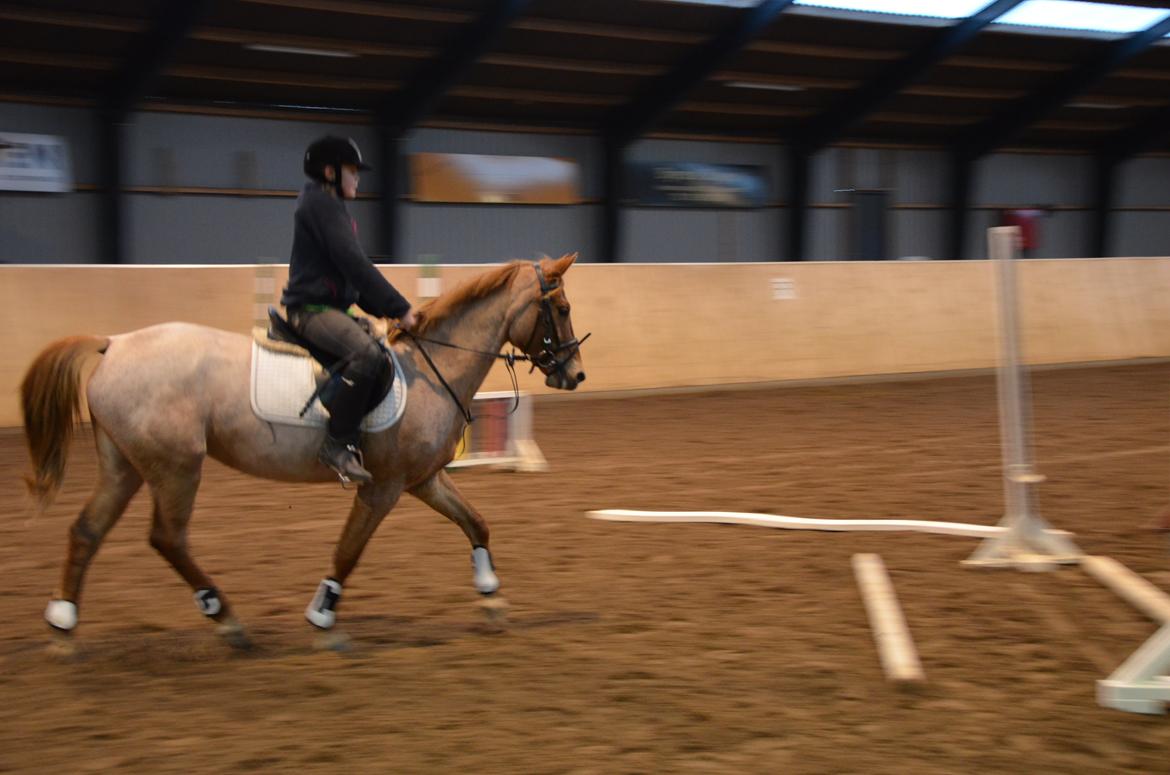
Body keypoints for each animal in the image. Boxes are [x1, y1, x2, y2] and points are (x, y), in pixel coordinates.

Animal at [25, 255, 594, 650]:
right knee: (167, 538)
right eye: (562, 309)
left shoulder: (423, 479)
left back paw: (63, 623)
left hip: (125, 465)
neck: (432, 369)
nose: (575, 374)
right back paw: (225, 619)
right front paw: (324, 618)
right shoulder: (384, 487)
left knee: (87, 531)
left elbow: (476, 522)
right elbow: (348, 550)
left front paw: (493, 595)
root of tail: (114, 343)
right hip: (175, 468)